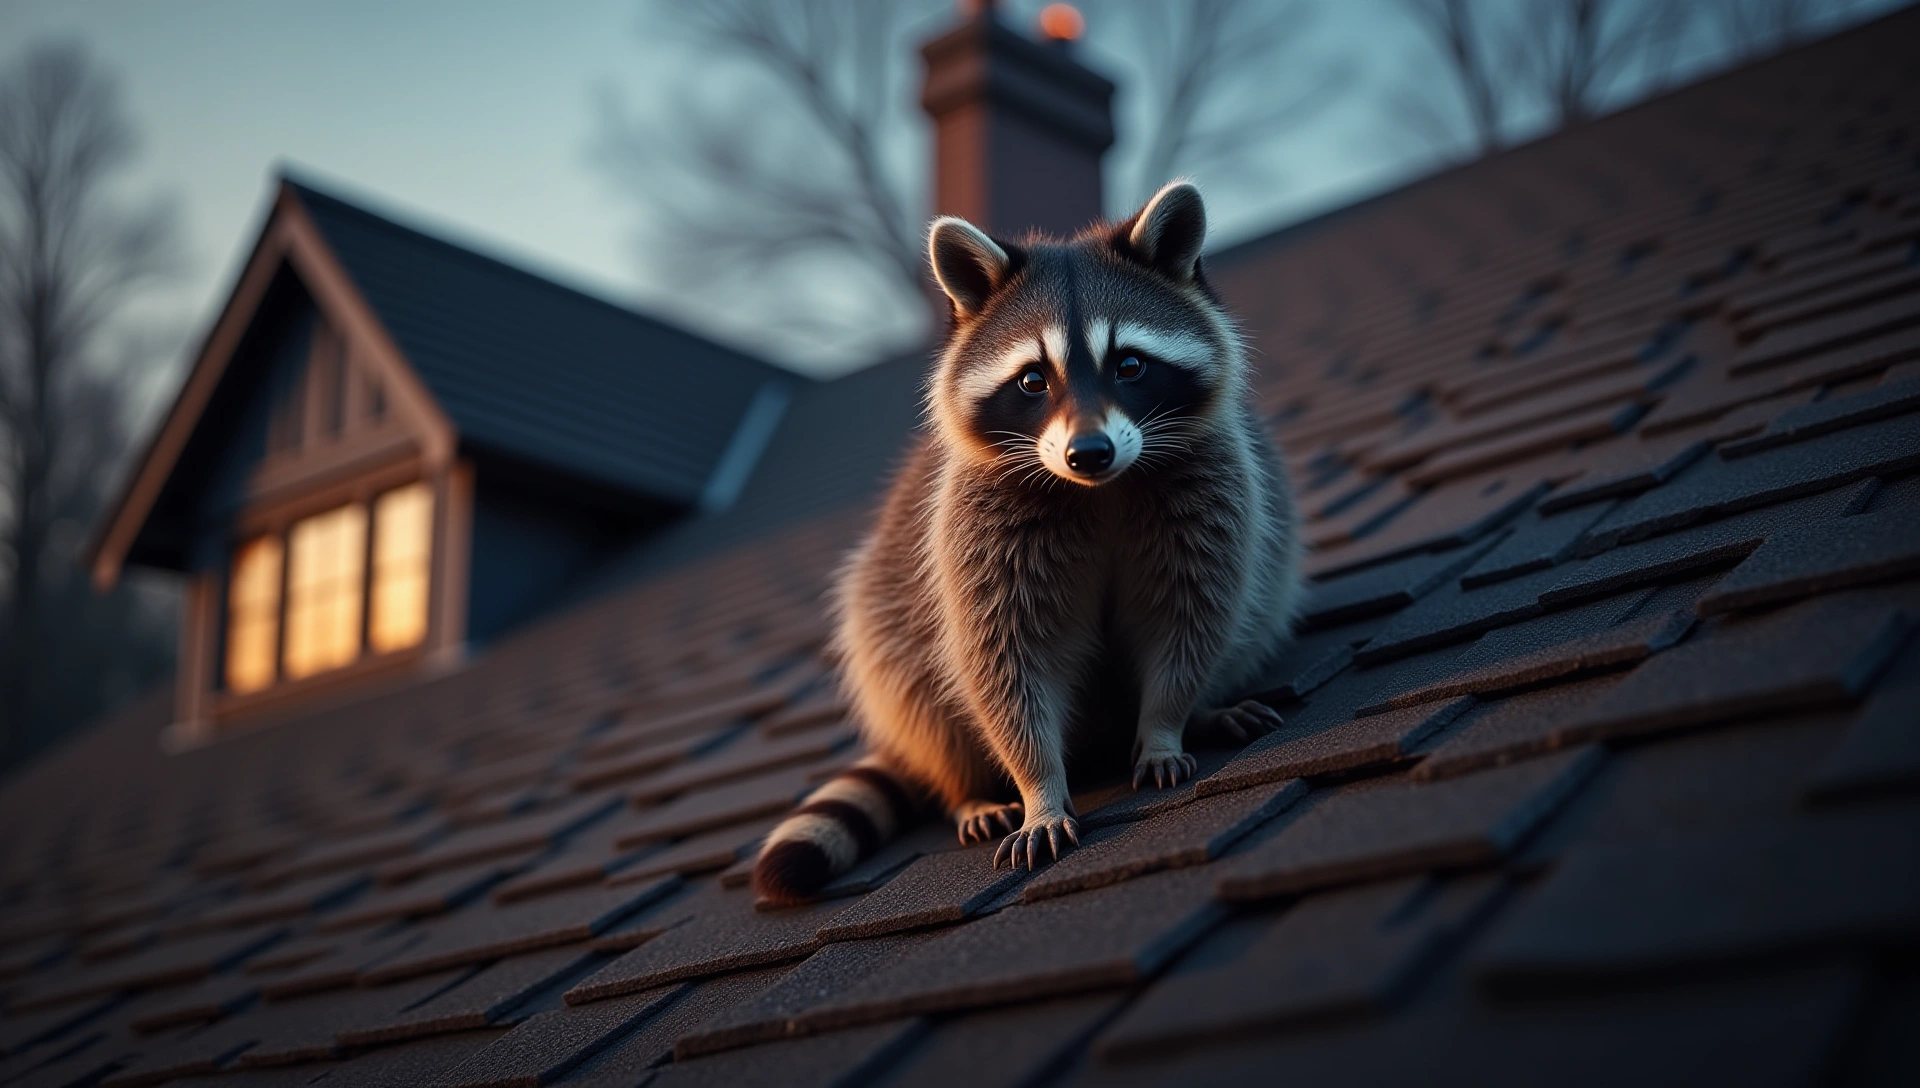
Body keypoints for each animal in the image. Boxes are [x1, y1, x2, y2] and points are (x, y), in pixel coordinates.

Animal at [753, 181, 1302, 903]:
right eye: (1033, 380)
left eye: (1130, 365)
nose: (1089, 453)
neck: (1100, 488)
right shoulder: (977, 534)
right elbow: (1004, 663)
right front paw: (1038, 785)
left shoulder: (1212, 497)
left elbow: (1188, 618)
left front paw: (1165, 722)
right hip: (888, 633)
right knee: (915, 686)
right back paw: (965, 790)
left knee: (1247, 617)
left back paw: (1207, 710)